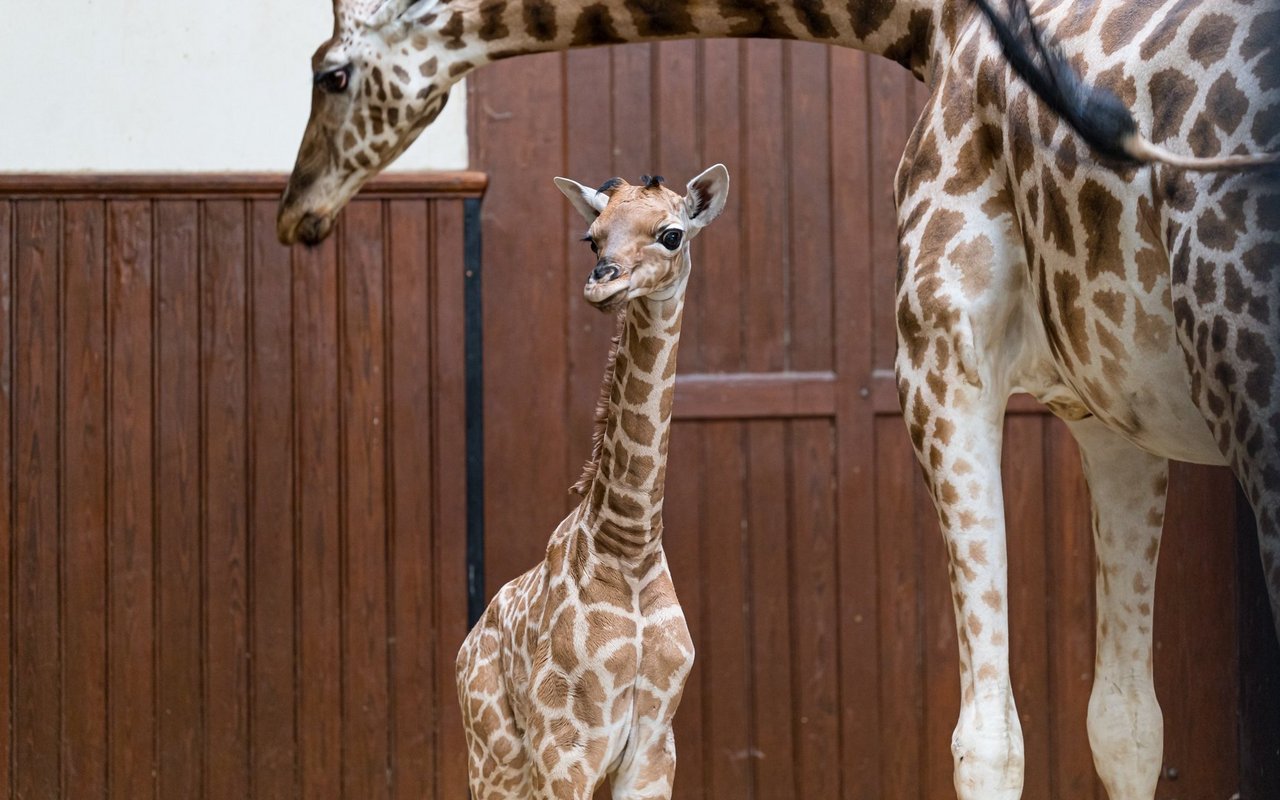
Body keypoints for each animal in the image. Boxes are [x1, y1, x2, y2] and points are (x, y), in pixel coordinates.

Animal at [458, 165, 732, 793]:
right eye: (593, 237)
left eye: (672, 234)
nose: (602, 284)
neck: (629, 545)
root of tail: (466, 646)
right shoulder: (563, 747)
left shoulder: (654, 748)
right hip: (496, 757)